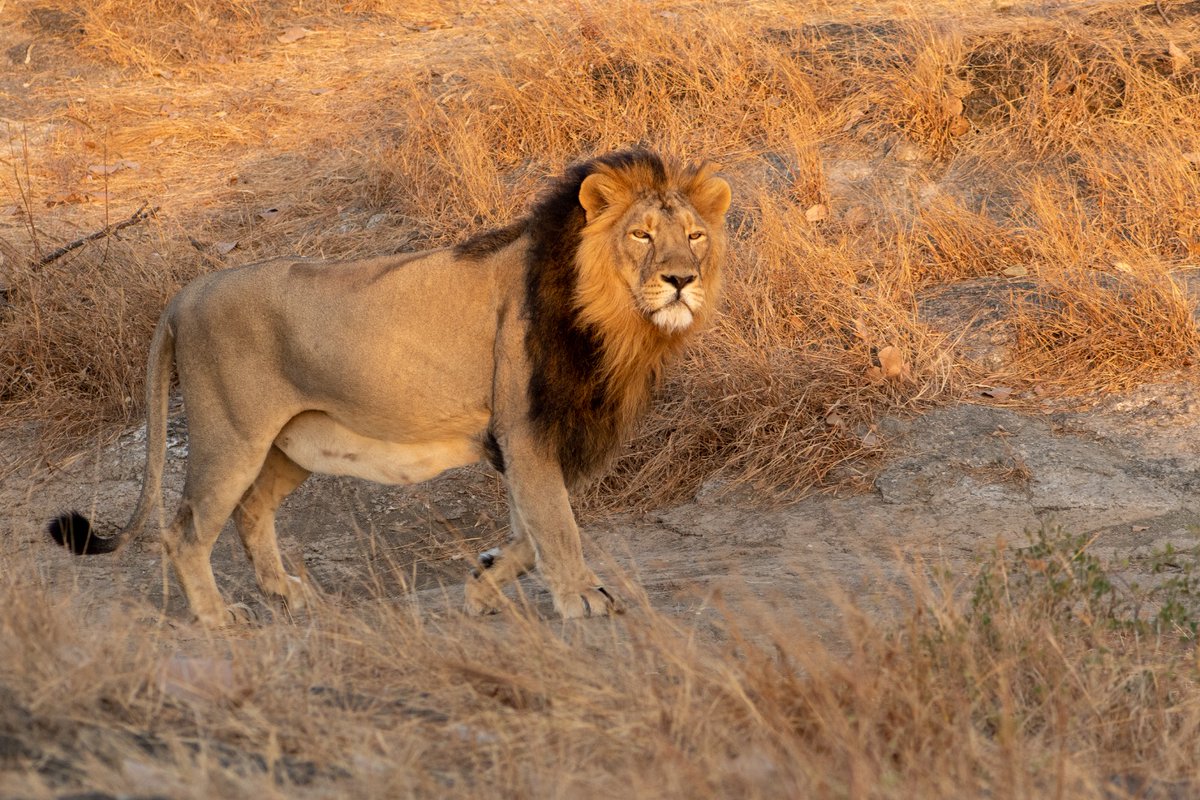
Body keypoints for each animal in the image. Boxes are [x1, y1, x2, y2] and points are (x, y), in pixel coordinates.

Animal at [49, 148, 729, 623]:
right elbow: (556, 522)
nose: (680, 279)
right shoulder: (527, 425)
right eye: (641, 234)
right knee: (185, 530)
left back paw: (285, 592)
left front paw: (483, 584)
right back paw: (219, 617)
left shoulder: (525, 435)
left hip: (292, 444)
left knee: (250, 511)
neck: (617, 320)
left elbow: (527, 530)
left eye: (695, 236)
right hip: (231, 436)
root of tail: (185, 295)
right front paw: (581, 595)